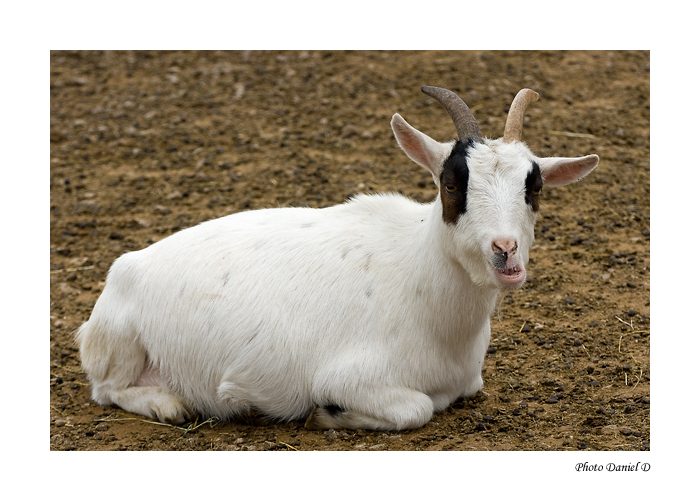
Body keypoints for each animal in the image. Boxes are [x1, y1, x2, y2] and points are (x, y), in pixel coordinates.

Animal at [78, 86, 600, 430]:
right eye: (451, 183)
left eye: (534, 187)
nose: (505, 252)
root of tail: (126, 267)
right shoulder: (354, 377)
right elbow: (416, 409)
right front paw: (326, 414)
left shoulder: (467, 380)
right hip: (121, 345)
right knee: (106, 389)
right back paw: (169, 405)